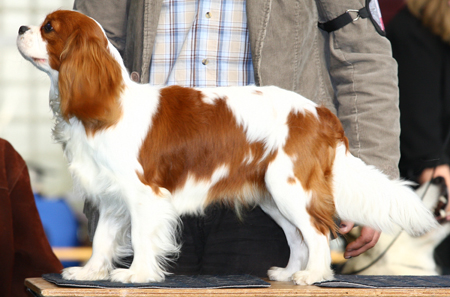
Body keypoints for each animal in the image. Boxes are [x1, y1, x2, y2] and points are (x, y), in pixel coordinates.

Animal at [17, 10, 436, 284]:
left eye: (49, 27)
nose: (20, 26)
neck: (109, 101)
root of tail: (320, 113)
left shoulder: (143, 193)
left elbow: (139, 237)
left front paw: (137, 275)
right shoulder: (112, 194)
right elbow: (103, 238)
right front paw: (90, 272)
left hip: (290, 188)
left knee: (316, 232)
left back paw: (313, 275)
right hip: (270, 195)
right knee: (297, 237)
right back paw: (288, 272)